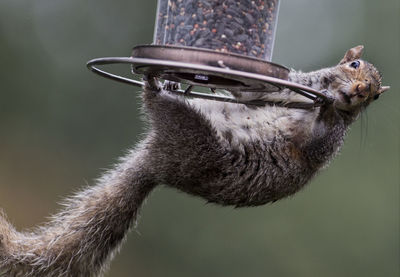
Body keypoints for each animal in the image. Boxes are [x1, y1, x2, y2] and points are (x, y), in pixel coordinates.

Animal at [0, 45, 390, 274]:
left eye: (374, 97)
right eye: (353, 64)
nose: (360, 92)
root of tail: (158, 160)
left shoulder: (328, 141)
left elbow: (316, 144)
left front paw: (327, 110)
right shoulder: (289, 88)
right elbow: (253, 92)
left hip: (193, 131)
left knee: (158, 105)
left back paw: (155, 86)